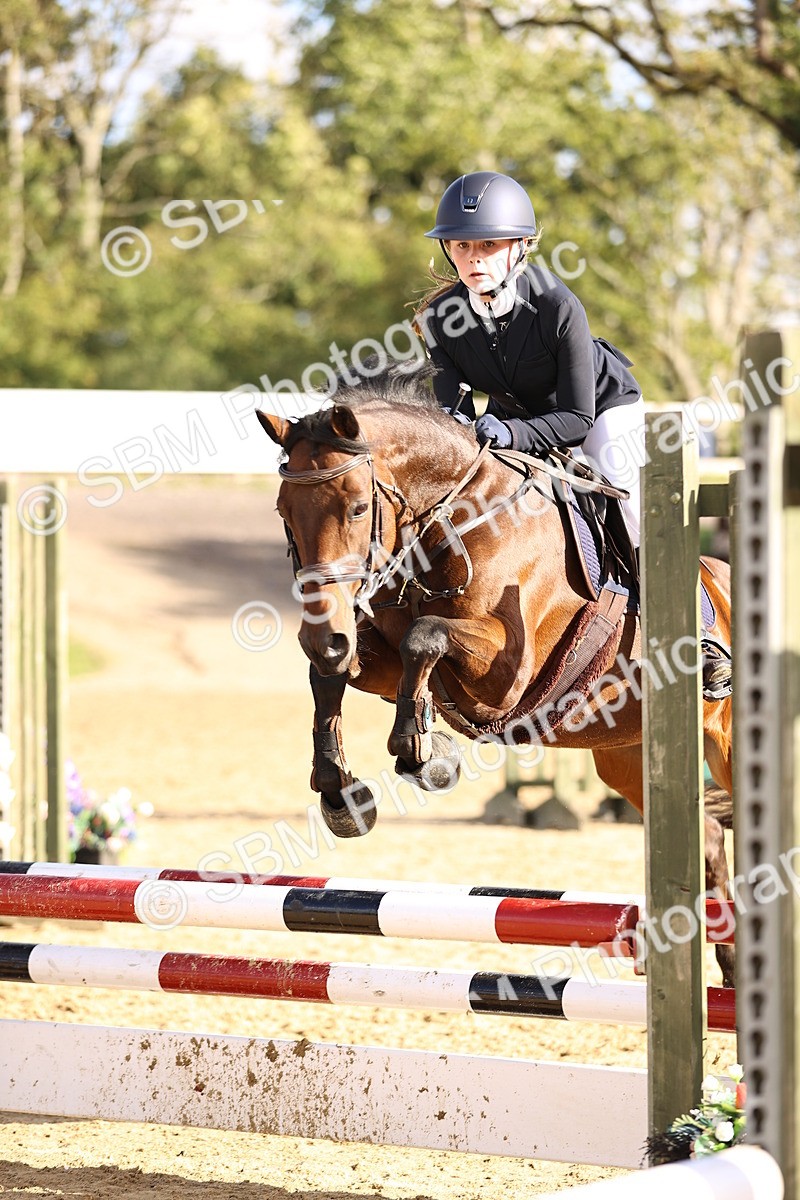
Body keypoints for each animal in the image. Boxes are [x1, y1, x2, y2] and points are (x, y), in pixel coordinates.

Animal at [255, 361, 734, 986]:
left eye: (358, 508)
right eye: (285, 513)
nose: (322, 635)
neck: (453, 523)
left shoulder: (505, 677)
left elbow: (424, 637)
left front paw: (424, 755)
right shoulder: (376, 658)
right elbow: (337, 676)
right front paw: (342, 792)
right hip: (630, 759)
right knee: (710, 845)